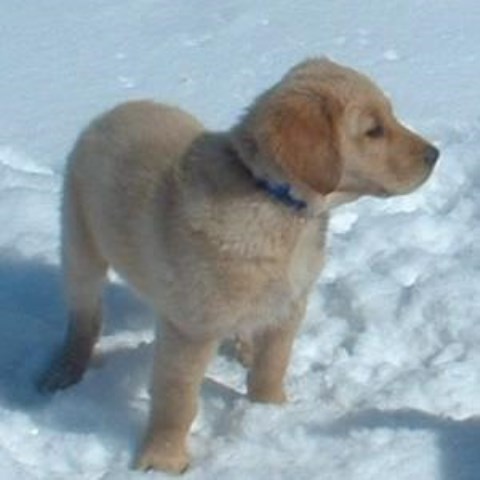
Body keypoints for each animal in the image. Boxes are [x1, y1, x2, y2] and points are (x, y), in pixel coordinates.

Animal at [41, 57, 438, 472]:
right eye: (373, 130)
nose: (435, 154)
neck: (274, 200)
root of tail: (114, 111)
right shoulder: (191, 327)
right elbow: (177, 397)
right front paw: (163, 457)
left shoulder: (290, 304)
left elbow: (273, 363)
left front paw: (269, 409)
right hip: (80, 245)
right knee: (84, 318)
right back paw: (65, 369)